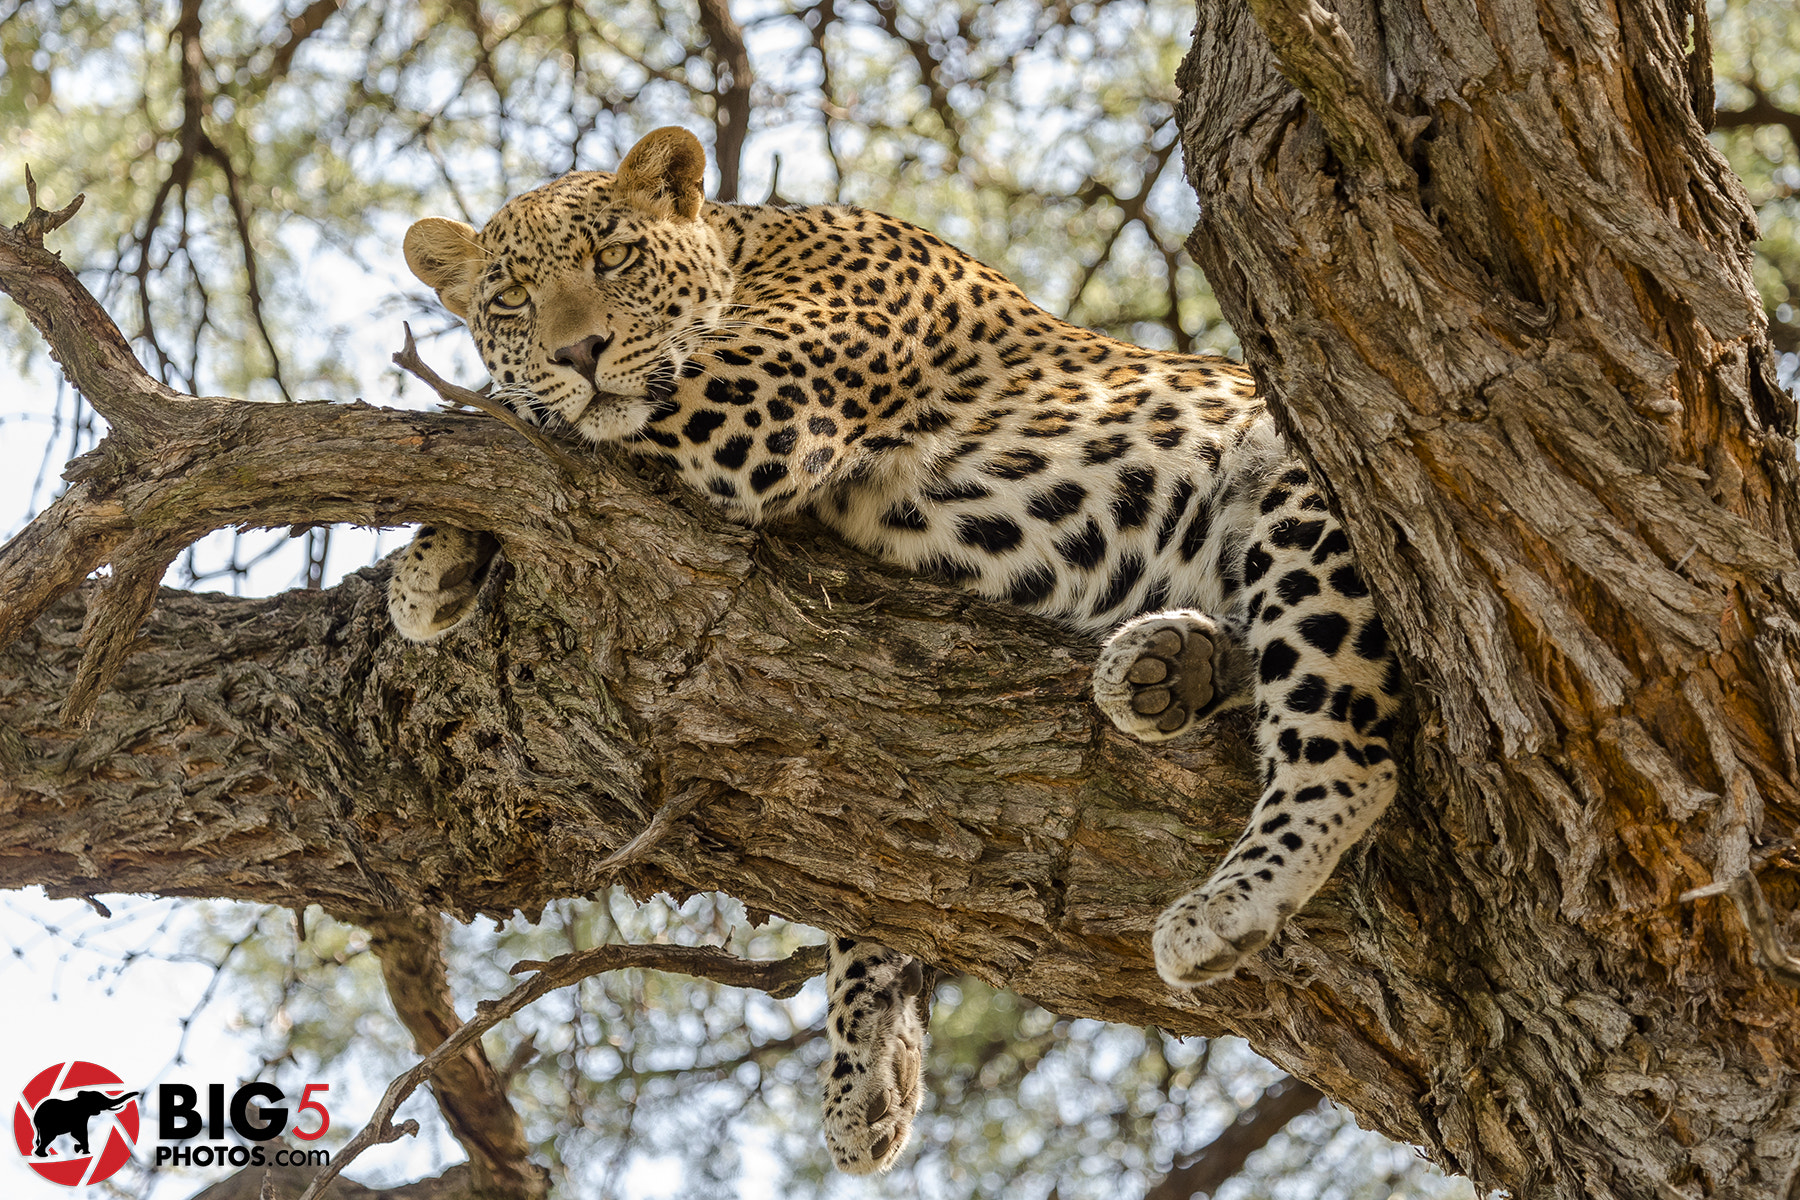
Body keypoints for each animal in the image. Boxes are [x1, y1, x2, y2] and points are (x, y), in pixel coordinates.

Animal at [388, 126, 1404, 1175]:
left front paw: (422, 554)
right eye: (512, 299)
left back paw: (1230, 902)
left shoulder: (755, 398)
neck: (750, 245)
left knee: (1347, 751)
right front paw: (869, 1069)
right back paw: (1166, 668)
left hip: (1299, 482)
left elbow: (525, 410)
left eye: (616, 258)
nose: (578, 349)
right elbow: (871, 885)